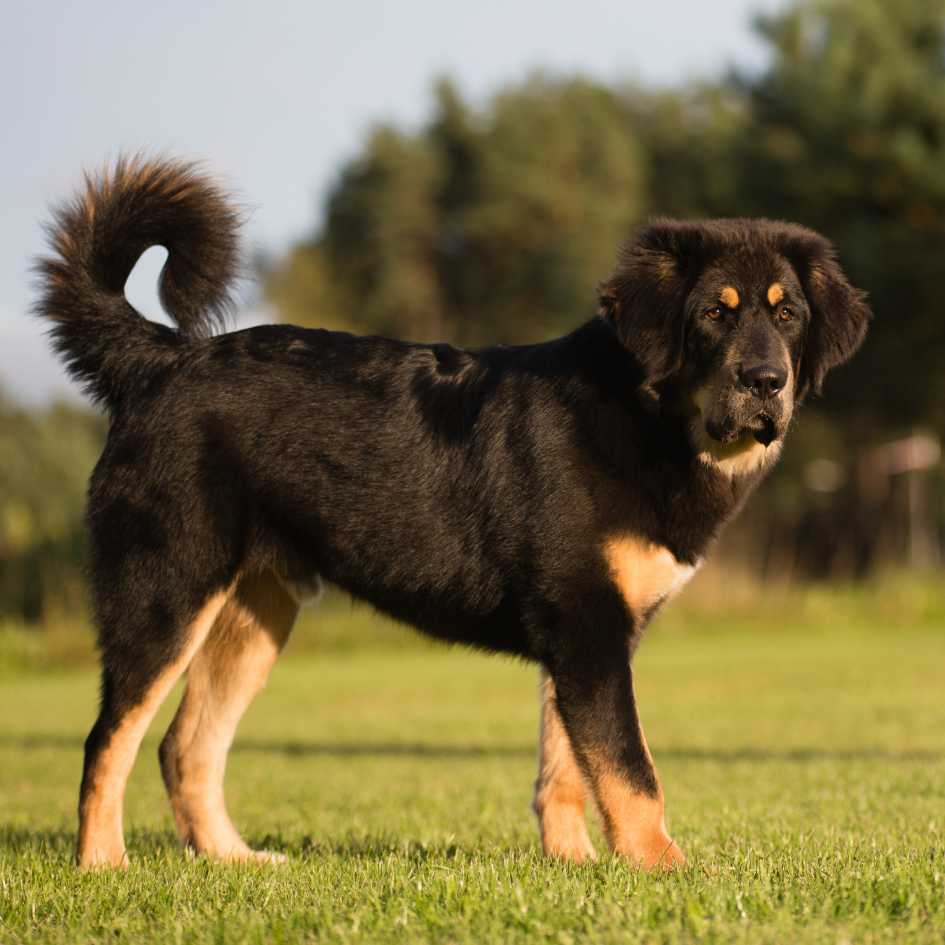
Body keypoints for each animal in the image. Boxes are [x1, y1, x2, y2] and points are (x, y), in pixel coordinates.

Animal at [33, 157, 868, 872]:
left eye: (787, 314)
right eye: (711, 316)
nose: (765, 381)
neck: (647, 419)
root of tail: (162, 361)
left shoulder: (583, 636)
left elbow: (568, 767)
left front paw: (574, 864)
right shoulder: (588, 627)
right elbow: (630, 768)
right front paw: (665, 867)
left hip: (254, 611)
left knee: (185, 745)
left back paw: (234, 860)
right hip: (165, 591)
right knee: (108, 738)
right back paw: (103, 863)